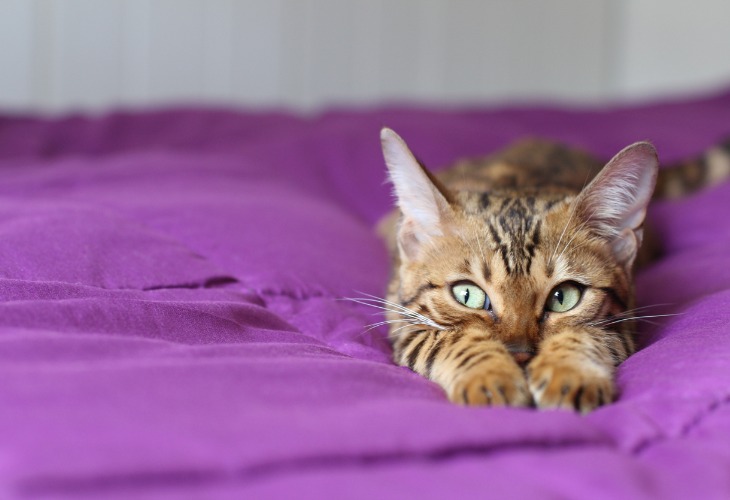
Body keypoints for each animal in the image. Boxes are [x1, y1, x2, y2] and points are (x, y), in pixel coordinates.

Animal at [376, 127, 728, 412]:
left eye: (563, 298)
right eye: (467, 295)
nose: (519, 354)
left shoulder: (623, 325)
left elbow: (586, 334)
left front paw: (568, 373)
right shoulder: (403, 322)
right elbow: (449, 339)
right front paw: (490, 376)